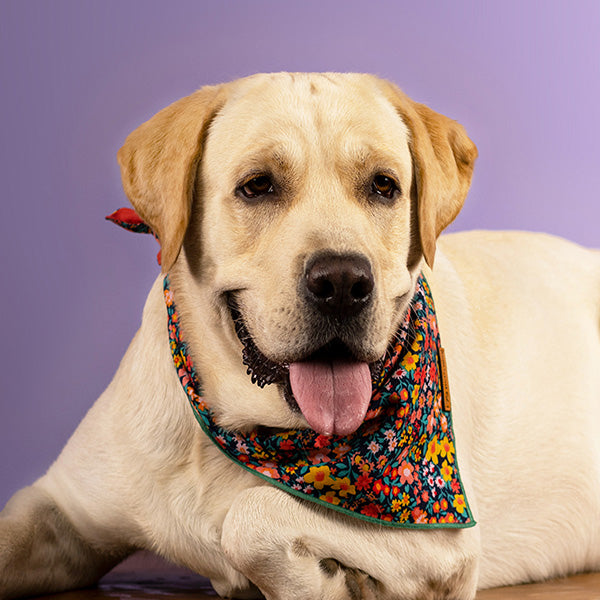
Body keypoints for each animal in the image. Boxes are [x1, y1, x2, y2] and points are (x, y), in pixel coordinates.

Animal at [1, 74, 600, 600]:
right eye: (258, 185)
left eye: (383, 186)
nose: (343, 283)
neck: (245, 433)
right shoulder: (58, 506)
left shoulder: (441, 544)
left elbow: (252, 515)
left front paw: (331, 581)